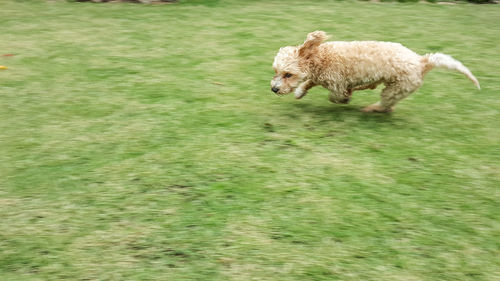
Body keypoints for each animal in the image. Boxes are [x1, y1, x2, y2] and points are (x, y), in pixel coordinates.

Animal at [272, 31, 478, 112]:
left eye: (288, 74)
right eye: (275, 71)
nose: (274, 89)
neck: (321, 57)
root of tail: (422, 61)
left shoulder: (336, 84)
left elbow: (337, 96)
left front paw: (346, 98)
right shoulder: (320, 77)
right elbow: (309, 82)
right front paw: (299, 92)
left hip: (395, 89)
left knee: (385, 105)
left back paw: (370, 108)